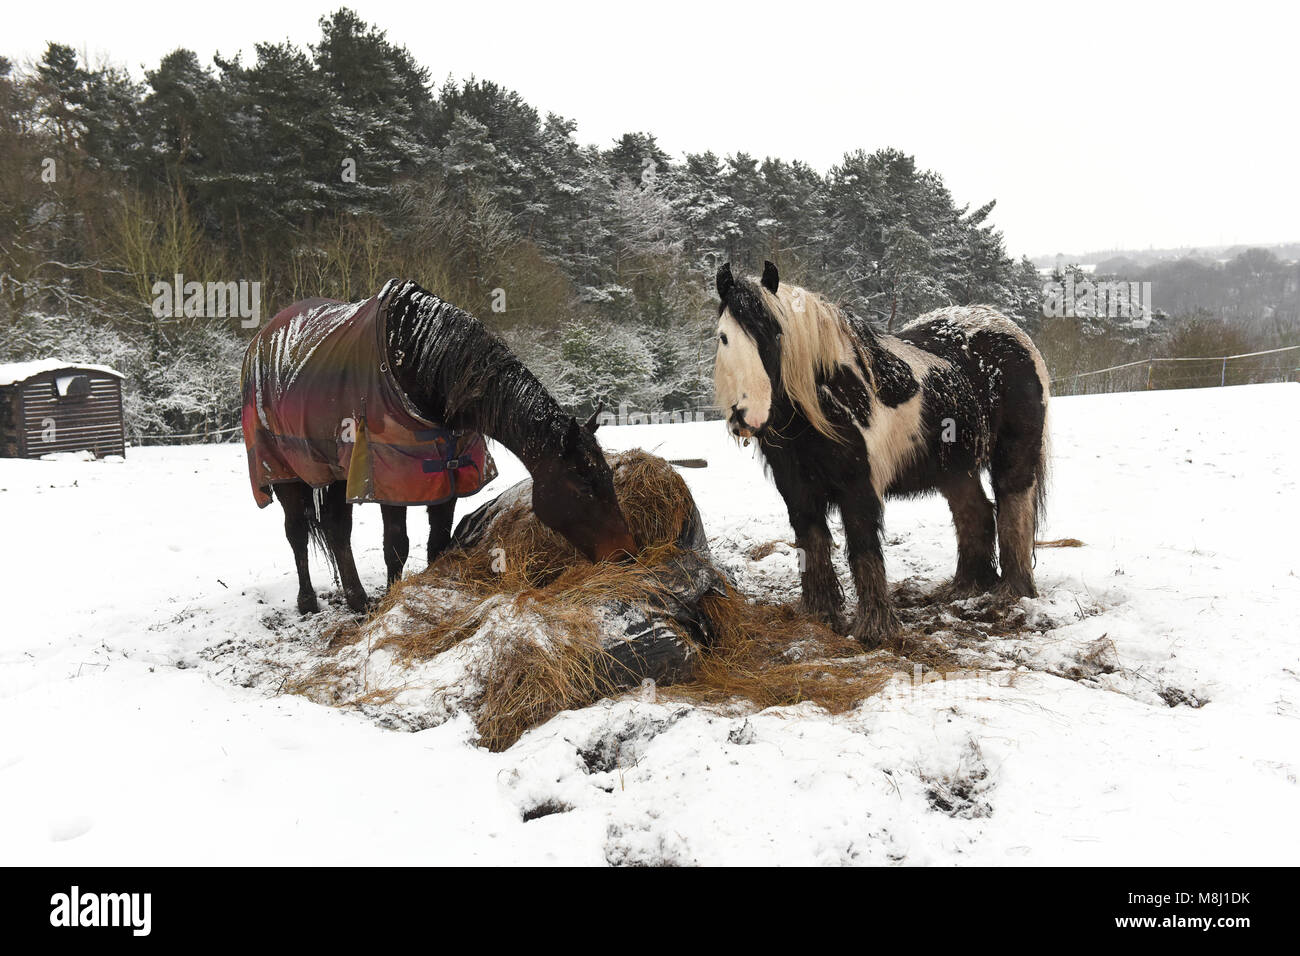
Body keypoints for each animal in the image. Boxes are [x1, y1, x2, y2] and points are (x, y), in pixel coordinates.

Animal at [241, 278, 637, 613]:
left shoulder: (451, 476)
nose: (627, 556)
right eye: (583, 486)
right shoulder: (390, 480)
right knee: (296, 533)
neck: (417, 360)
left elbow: (438, 542)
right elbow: (396, 547)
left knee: (338, 529)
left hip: (337, 471)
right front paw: (394, 601)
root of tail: (263, 337)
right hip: (284, 472)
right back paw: (308, 601)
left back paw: (356, 599)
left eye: (608, 478)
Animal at [717, 261, 1050, 650]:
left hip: (1014, 458)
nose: (748, 416)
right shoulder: (797, 491)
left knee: (1014, 511)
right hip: (956, 470)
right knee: (976, 514)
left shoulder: (858, 487)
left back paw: (1011, 593)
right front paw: (820, 615)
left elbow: (864, 549)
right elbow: (811, 546)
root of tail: (1012, 333)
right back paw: (967, 589)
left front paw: (874, 629)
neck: (828, 395)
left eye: (774, 334)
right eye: (724, 337)